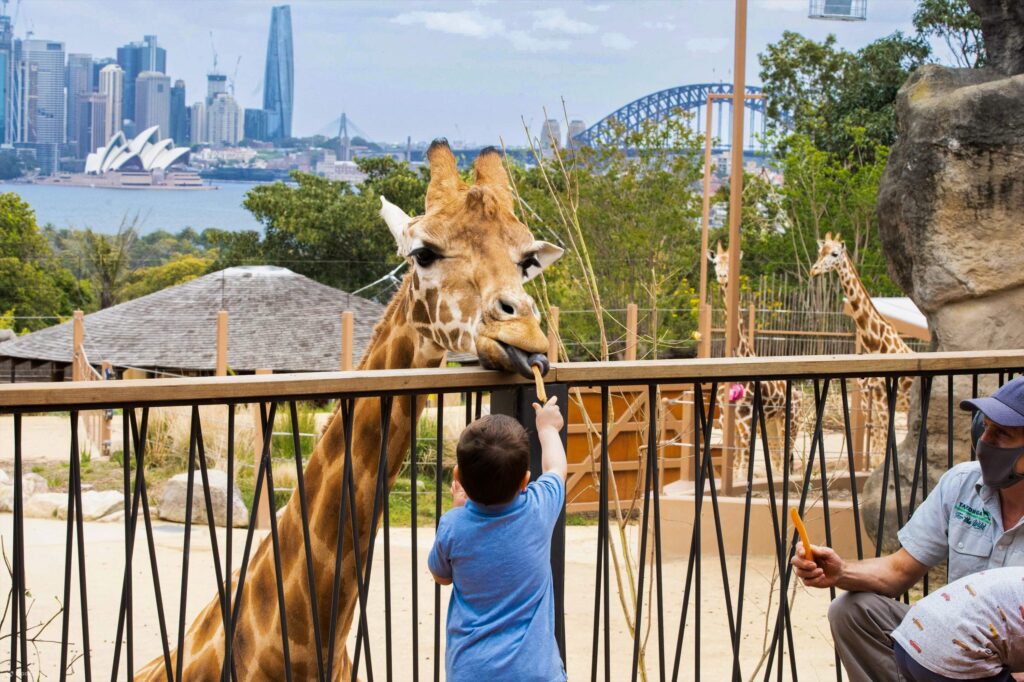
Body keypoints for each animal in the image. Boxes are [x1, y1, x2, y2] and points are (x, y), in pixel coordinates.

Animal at [704, 242, 798, 473]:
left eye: (731, 262)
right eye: (715, 262)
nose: (722, 276)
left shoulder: (747, 421)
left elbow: (742, 468)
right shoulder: (728, 419)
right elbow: (735, 466)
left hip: (790, 423)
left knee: (786, 462)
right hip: (772, 426)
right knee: (777, 462)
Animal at [811, 231, 917, 464]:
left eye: (834, 253)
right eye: (820, 251)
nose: (813, 270)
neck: (875, 344)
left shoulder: (885, 403)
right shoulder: (875, 404)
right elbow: (878, 454)